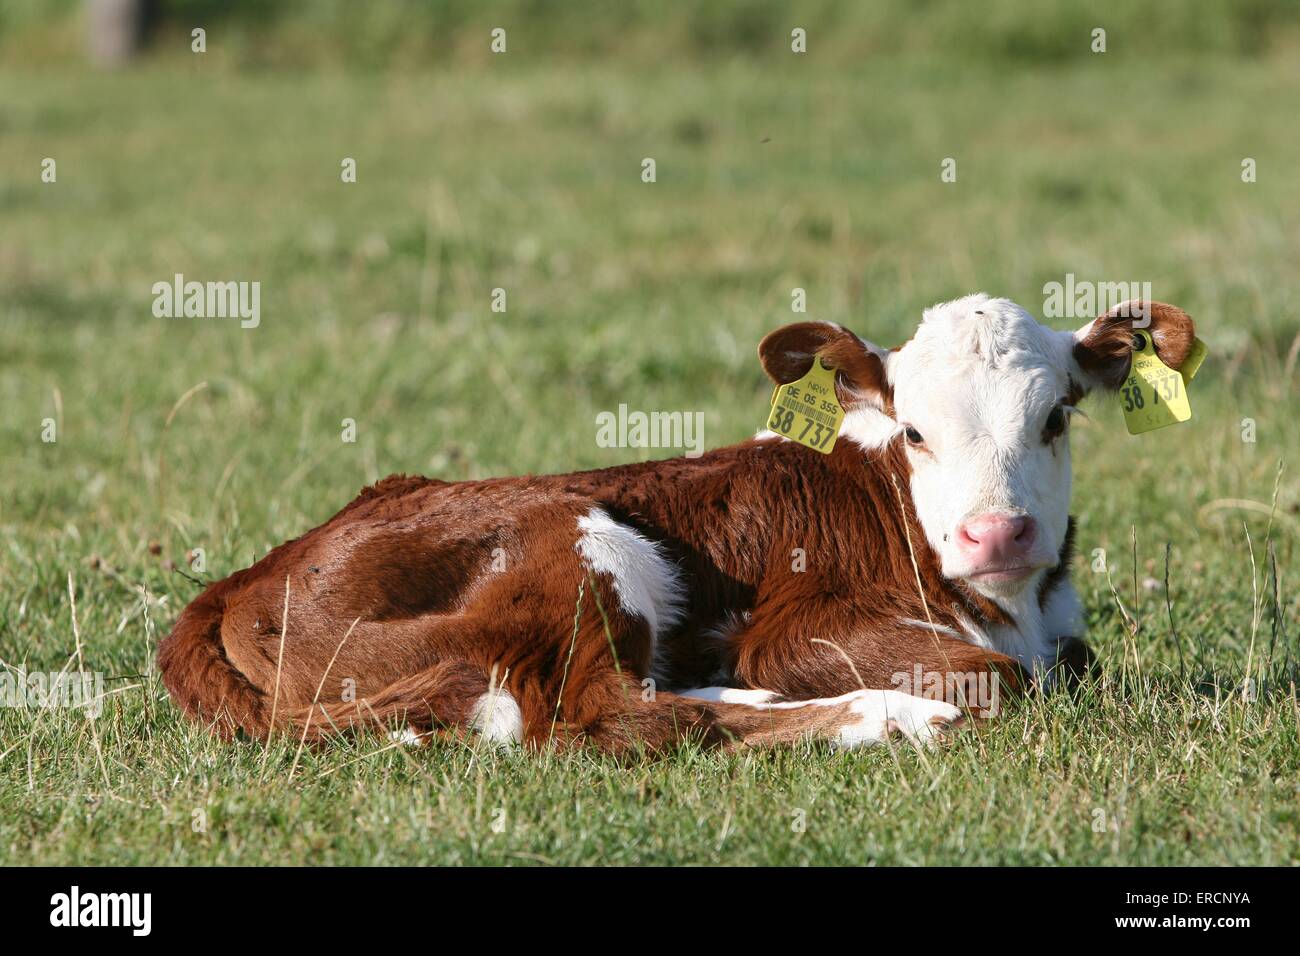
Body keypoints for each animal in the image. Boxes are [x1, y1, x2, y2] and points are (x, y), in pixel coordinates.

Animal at [157, 294, 1197, 753]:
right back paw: (888, 713)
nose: (997, 535)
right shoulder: (802, 625)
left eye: (1056, 417)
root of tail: (243, 580)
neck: (1011, 610)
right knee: (603, 716)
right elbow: (1000, 681)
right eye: (914, 430)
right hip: (574, 545)